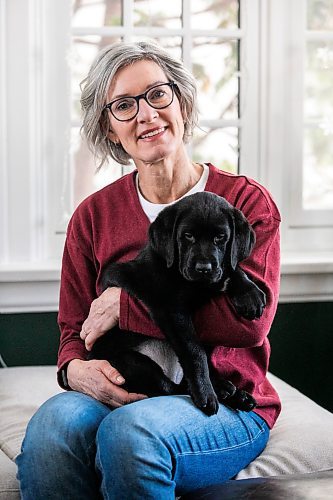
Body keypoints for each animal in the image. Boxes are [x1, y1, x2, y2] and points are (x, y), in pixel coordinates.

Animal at [89, 191, 266, 414]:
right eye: (188, 235)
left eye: (220, 237)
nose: (203, 268)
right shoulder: (171, 310)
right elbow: (195, 353)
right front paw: (205, 393)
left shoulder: (218, 273)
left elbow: (233, 268)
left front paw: (250, 294)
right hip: (130, 362)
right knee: (171, 387)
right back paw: (221, 391)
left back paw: (235, 394)